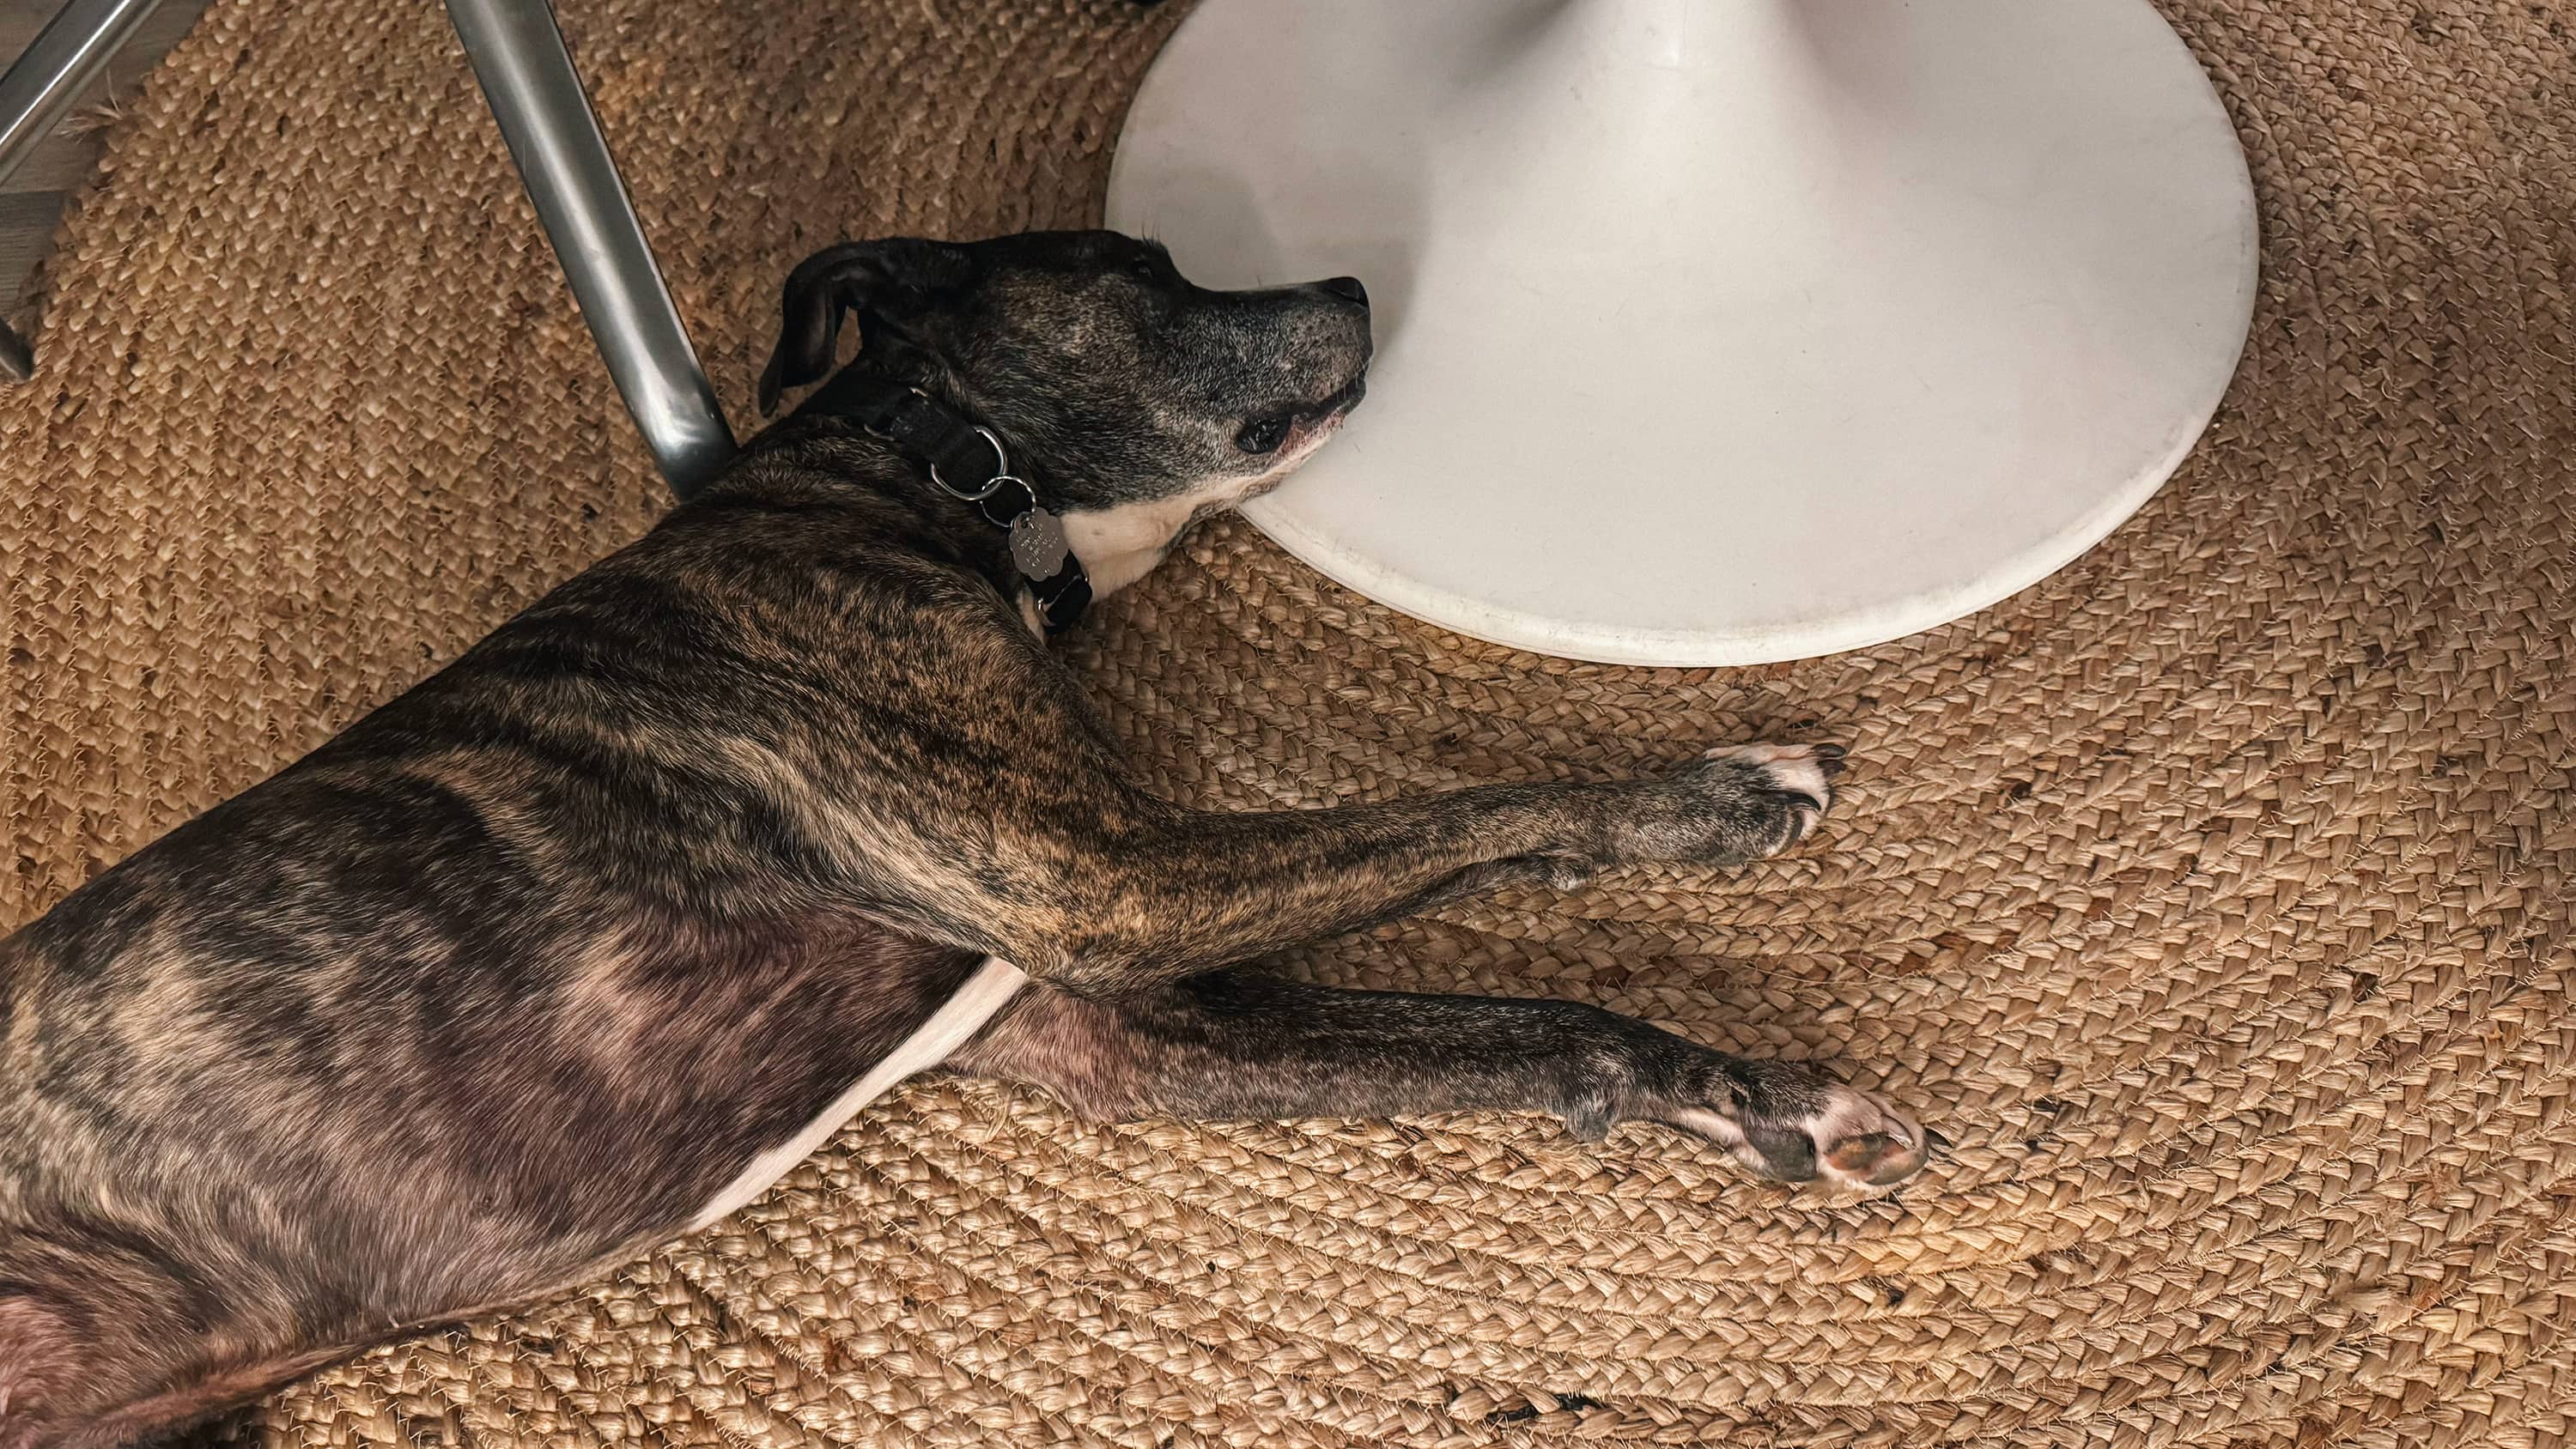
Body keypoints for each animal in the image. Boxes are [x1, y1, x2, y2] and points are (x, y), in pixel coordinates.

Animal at [0, 233, 1927, 1441]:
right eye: (1138, 272)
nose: (1354, 279)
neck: (931, 474)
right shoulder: (1107, 883)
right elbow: (1476, 809)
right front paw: (1716, 788)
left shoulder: (1108, 1021)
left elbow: (1535, 1027)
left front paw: (1758, 1097)